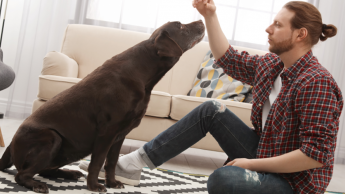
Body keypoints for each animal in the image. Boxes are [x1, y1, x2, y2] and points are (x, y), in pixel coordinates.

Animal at [0, 20, 204, 193]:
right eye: (181, 26)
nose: (202, 21)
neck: (141, 73)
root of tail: (10, 146)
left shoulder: (120, 134)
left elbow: (111, 162)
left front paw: (112, 183)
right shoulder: (107, 131)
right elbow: (97, 162)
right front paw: (94, 186)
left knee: (44, 170)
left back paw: (69, 173)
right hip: (53, 137)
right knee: (22, 175)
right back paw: (37, 184)